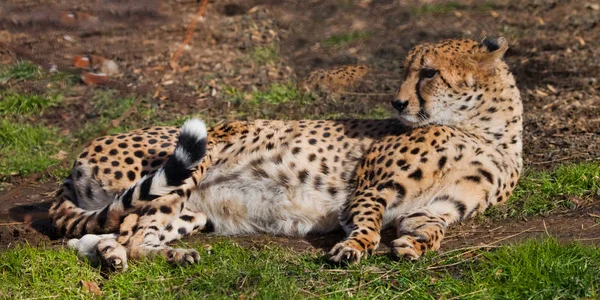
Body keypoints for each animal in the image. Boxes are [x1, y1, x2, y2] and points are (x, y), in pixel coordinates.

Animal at [50, 37, 520, 270]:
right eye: (407, 71)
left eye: (428, 73)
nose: (397, 102)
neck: (485, 131)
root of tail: (75, 161)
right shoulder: (372, 186)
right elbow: (367, 223)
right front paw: (354, 248)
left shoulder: (437, 209)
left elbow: (432, 230)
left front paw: (414, 246)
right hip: (196, 156)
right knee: (119, 234)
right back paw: (128, 256)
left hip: (192, 213)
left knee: (116, 237)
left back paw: (155, 255)